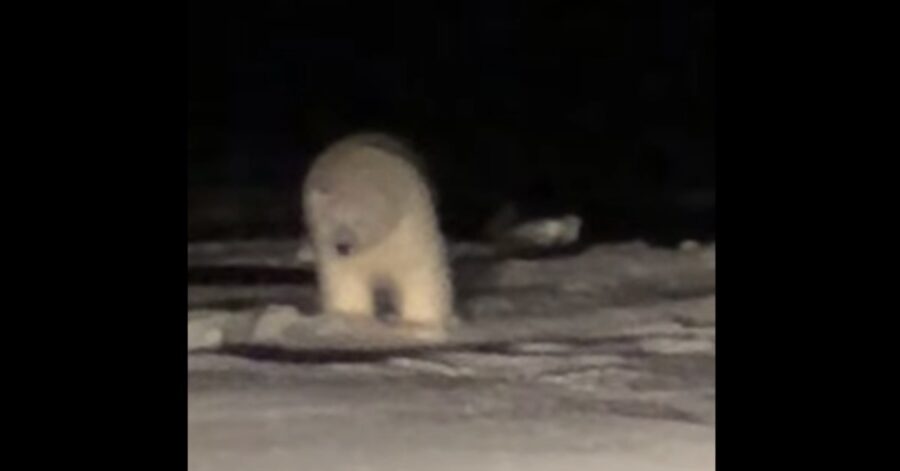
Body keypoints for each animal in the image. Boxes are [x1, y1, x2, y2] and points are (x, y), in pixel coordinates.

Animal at [302, 133, 458, 340]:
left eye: (359, 221)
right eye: (330, 220)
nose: (343, 247)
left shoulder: (408, 230)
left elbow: (418, 272)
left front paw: (418, 325)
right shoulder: (330, 247)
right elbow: (346, 277)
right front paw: (350, 318)